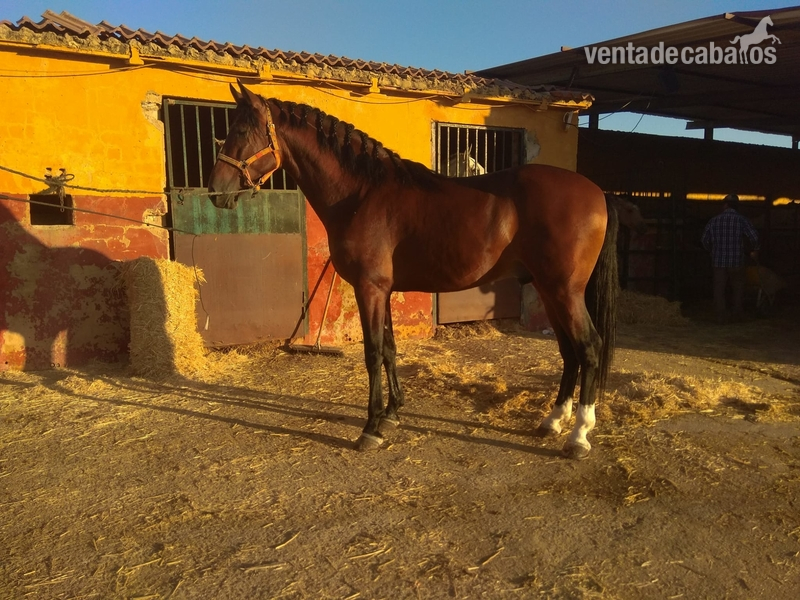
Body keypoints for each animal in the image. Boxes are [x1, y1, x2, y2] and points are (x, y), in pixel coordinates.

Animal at [208, 82, 619, 459]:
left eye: (241, 131)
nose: (215, 192)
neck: (361, 193)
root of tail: (598, 192)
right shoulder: (383, 289)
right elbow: (389, 349)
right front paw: (392, 414)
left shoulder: (370, 288)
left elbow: (373, 353)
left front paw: (371, 428)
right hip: (549, 291)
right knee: (569, 352)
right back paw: (553, 421)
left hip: (565, 291)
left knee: (589, 347)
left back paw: (578, 436)